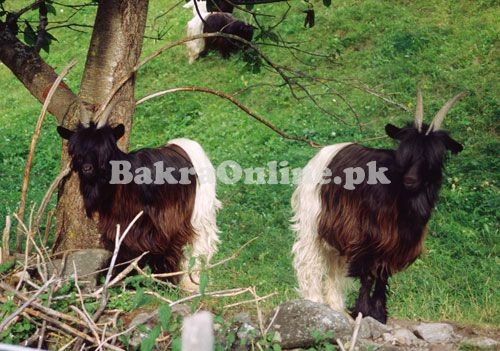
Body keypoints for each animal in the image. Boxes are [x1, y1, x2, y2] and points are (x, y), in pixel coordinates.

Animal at [57, 103, 221, 290]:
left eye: (105, 149)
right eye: (75, 149)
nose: (87, 168)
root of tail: (184, 145)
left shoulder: (161, 225)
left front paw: (165, 284)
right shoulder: (120, 227)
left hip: (200, 212)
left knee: (201, 245)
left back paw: (193, 282)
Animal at [292, 91, 466, 324]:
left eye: (436, 156)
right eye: (405, 150)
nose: (410, 180)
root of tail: (324, 153)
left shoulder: (394, 243)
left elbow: (383, 276)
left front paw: (379, 314)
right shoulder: (366, 237)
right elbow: (367, 274)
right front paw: (363, 311)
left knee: (335, 268)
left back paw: (336, 308)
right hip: (313, 220)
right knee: (308, 261)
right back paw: (314, 303)